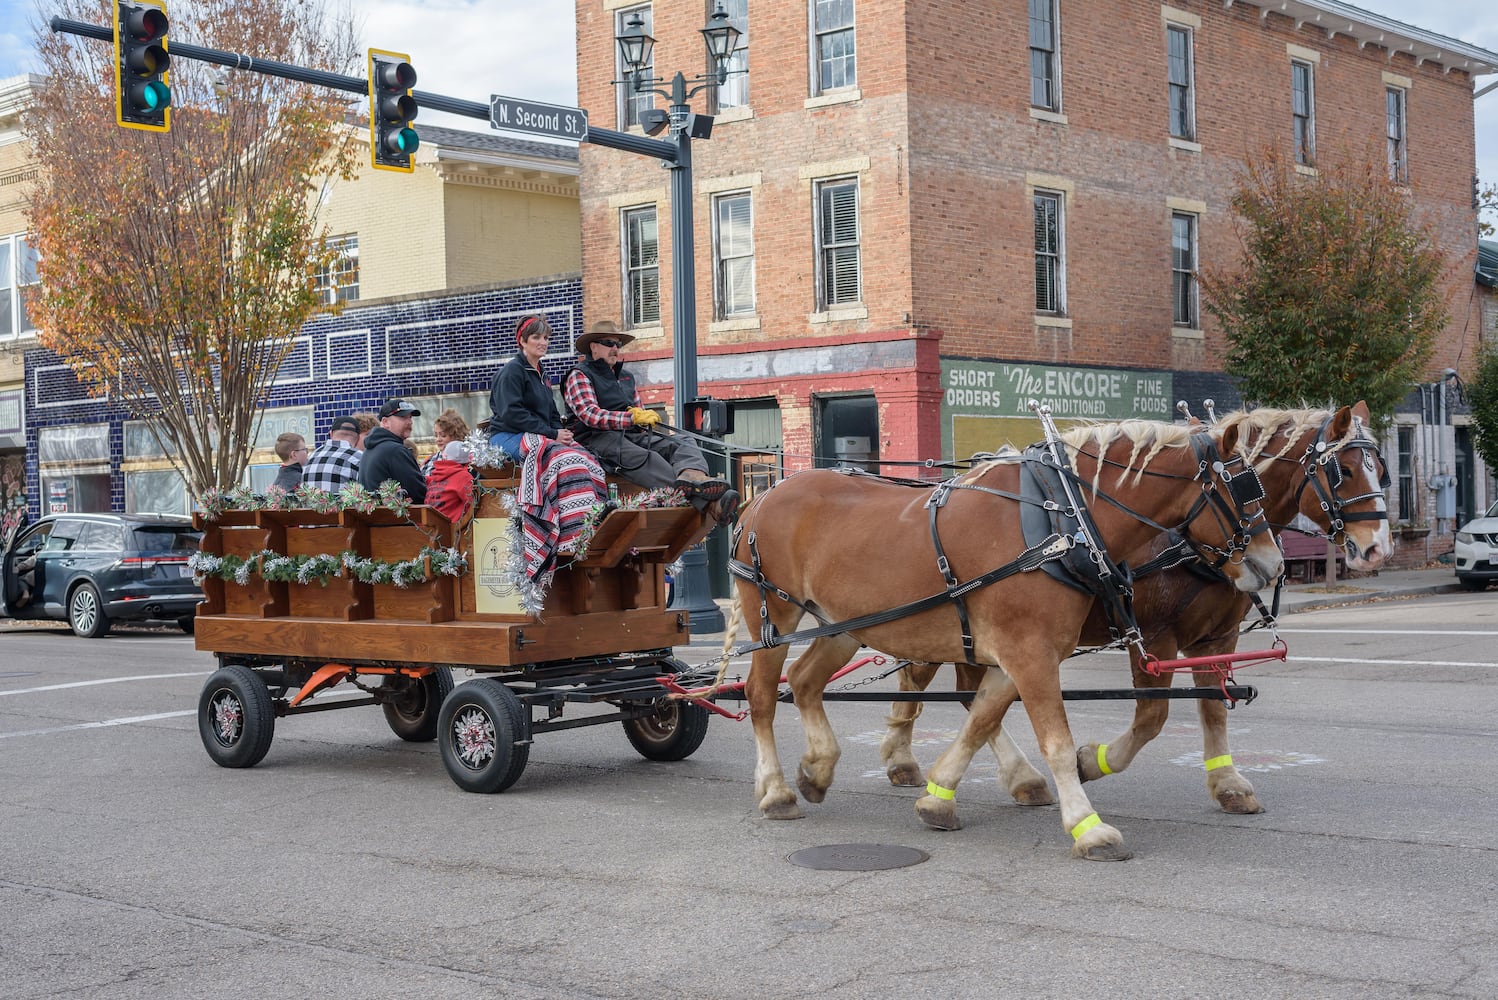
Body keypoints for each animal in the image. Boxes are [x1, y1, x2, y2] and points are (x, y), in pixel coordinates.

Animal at [731, 413, 1282, 862]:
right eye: (1241, 486)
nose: (1274, 565)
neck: (1063, 522)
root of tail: (761, 496)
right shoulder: (1031, 654)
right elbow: (1056, 741)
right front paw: (1089, 827)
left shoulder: (1019, 655)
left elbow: (980, 720)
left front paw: (938, 798)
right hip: (773, 616)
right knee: (762, 695)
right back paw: (776, 791)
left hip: (844, 625)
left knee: (805, 682)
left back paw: (817, 770)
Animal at [874, 401, 1390, 814]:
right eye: (1343, 472)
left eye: (1382, 471)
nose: (1377, 549)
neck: (1177, 538)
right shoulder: (1155, 635)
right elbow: (1151, 717)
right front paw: (1091, 761)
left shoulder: (1216, 637)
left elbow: (1213, 710)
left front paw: (1228, 784)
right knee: (925, 680)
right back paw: (910, 760)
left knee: (967, 693)